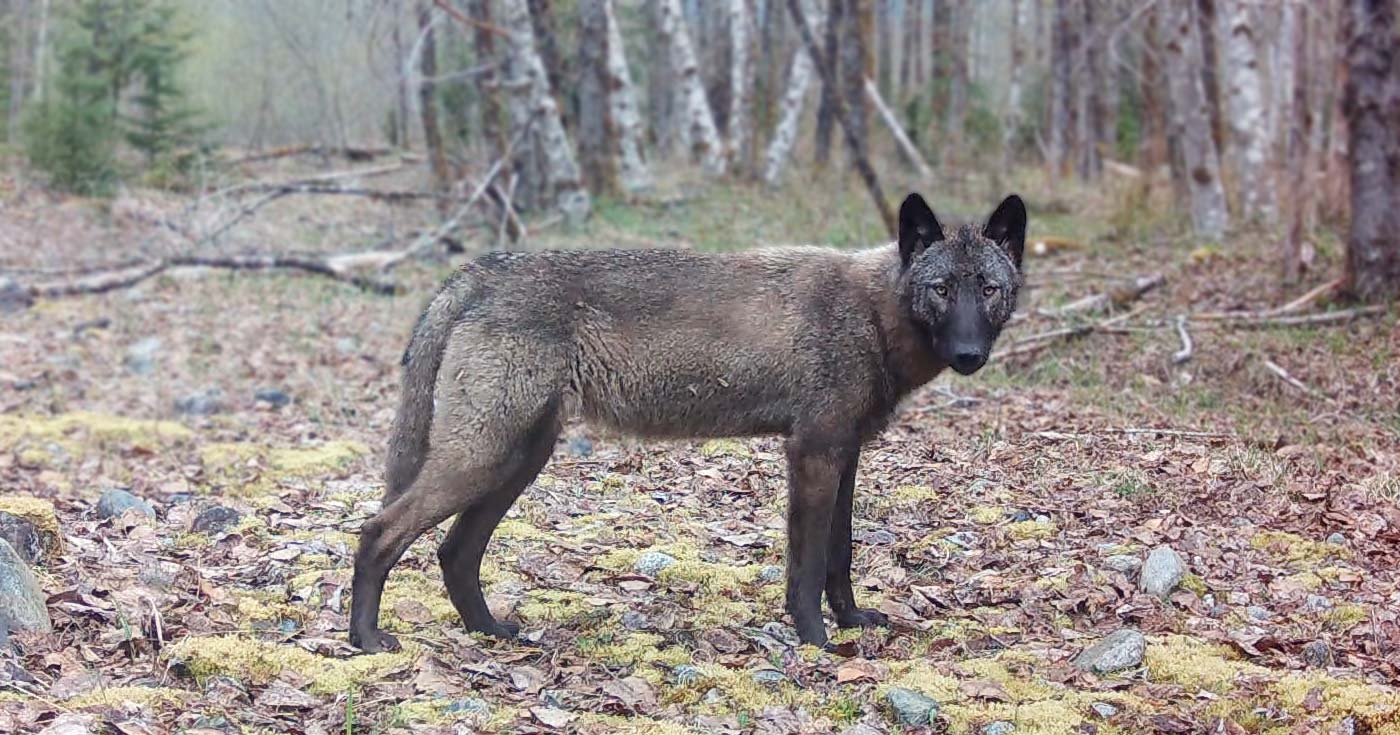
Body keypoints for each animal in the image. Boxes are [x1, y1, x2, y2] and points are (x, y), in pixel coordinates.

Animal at [349, 193, 1027, 652]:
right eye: (942, 289)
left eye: (988, 289)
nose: (971, 354)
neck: (872, 312)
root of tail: (481, 270)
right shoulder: (812, 454)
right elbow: (807, 567)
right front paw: (816, 641)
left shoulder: (845, 455)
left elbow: (840, 556)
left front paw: (853, 623)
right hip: (484, 458)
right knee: (378, 531)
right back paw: (366, 642)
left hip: (516, 462)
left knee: (454, 552)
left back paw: (489, 631)